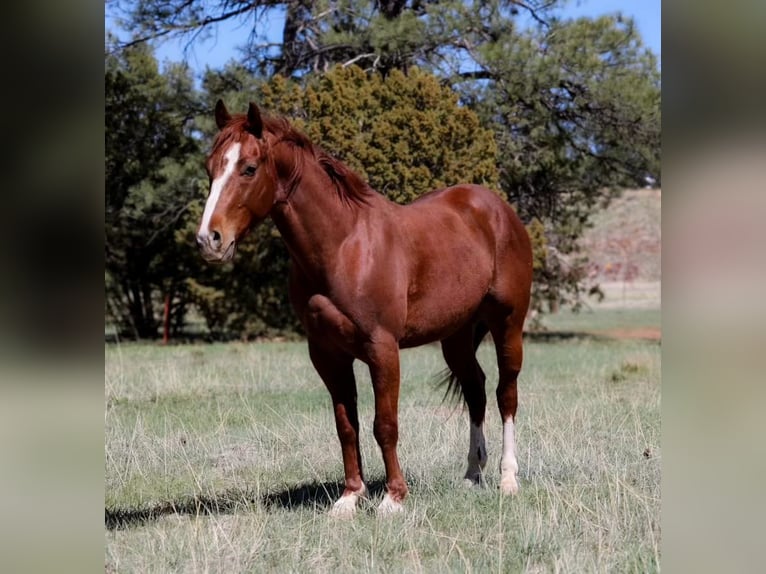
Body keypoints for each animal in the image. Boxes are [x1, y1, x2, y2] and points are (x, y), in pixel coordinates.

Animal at [196, 100, 533, 516]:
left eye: (248, 168)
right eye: (210, 168)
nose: (209, 240)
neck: (344, 245)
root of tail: (498, 209)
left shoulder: (382, 348)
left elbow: (384, 424)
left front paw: (393, 497)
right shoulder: (327, 354)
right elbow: (347, 426)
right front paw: (350, 497)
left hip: (508, 324)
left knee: (506, 394)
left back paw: (508, 479)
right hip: (456, 336)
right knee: (476, 390)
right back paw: (472, 475)